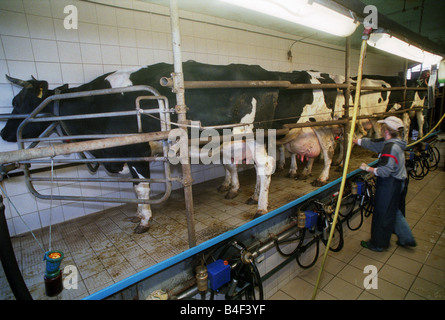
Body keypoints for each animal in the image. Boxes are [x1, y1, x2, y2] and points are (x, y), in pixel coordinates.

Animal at [1, 60, 280, 232]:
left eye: (18, 101)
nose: (5, 133)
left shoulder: (136, 152)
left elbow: (142, 188)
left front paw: (144, 220)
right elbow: (135, 188)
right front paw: (137, 214)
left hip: (256, 134)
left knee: (264, 166)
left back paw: (261, 207)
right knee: (256, 169)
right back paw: (252, 196)